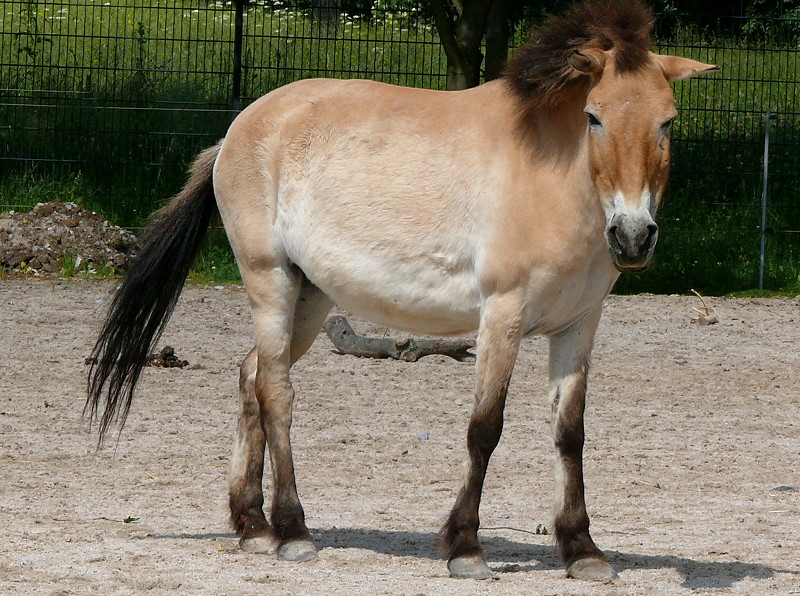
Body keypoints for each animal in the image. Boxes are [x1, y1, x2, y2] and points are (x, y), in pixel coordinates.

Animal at [84, 0, 716, 580]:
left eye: (668, 121)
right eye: (593, 117)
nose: (632, 236)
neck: (556, 177)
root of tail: (239, 130)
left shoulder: (578, 325)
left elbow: (570, 433)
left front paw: (582, 549)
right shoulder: (503, 316)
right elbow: (485, 429)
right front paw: (464, 547)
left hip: (311, 298)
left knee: (249, 377)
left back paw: (252, 526)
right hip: (271, 283)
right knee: (275, 394)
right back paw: (292, 531)